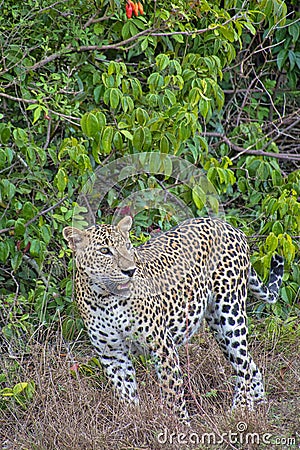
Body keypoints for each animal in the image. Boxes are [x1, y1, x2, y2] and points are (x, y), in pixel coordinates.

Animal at [62, 216, 284, 420]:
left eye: (127, 246)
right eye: (104, 251)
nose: (130, 271)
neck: (105, 298)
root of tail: (227, 225)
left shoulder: (162, 346)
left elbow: (172, 393)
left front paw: (179, 427)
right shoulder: (112, 354)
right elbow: (126, 395)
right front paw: (134, 421)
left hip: (230, 313)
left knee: (243, 364)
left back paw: (240, 410)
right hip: (217, 326)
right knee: (249, 364)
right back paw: (258, 403)